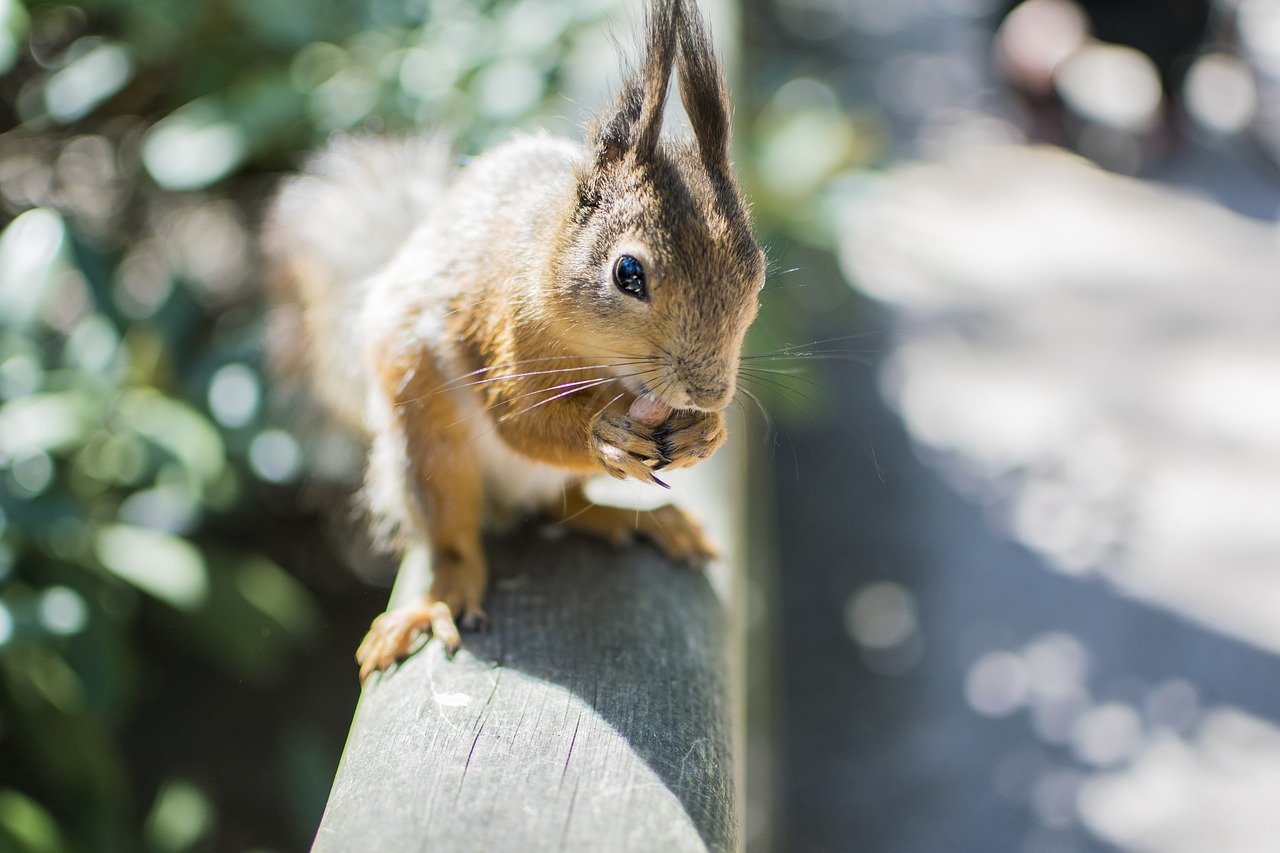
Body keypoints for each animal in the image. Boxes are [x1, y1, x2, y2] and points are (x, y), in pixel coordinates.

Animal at [256, 0, 762, 681]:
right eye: (628, 273)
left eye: (758, 270)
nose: (709, 394)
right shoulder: (501, 327)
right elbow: (517, 419)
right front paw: (602, 432)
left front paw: (707, 433)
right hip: (427, 445)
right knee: (455, 536)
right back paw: (439, 597)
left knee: (561, 508)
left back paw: (642, 521)